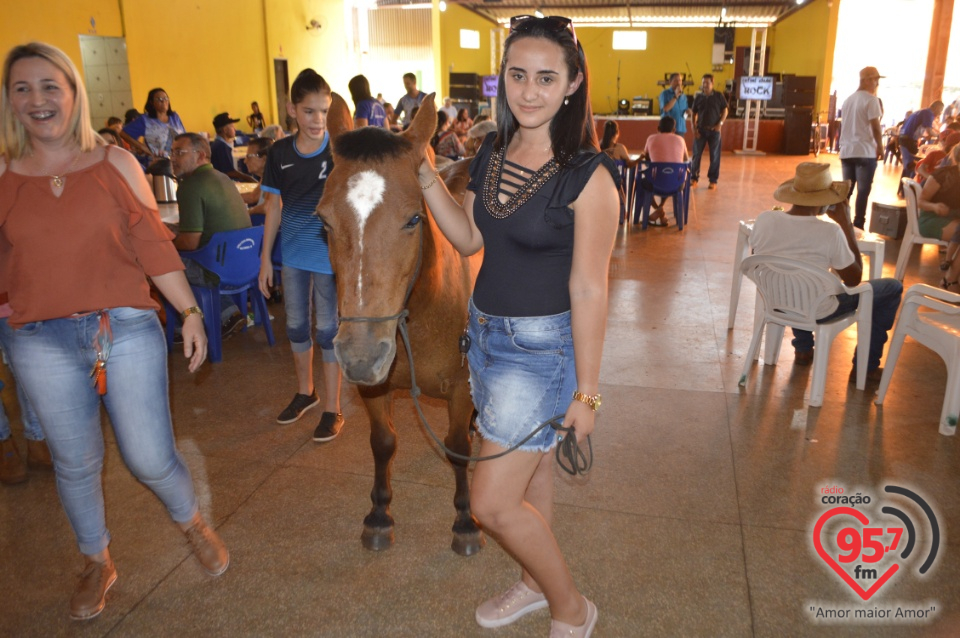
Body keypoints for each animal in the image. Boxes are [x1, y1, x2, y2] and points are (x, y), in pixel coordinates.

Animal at [316, 94, 484, 556]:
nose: (360, 356)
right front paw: (379, 514)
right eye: (323, 222)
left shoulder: (461, 390)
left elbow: (457, 448)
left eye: (414, 219)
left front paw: (466, 521)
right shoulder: (374, 390)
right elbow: (383, 443)